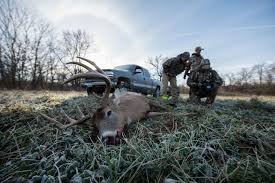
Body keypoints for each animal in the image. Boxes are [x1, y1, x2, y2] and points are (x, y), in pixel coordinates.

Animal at [40, 56, 192, 145]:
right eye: (95, 126)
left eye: (109, 112)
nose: (108, 139)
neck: (131, 112)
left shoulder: (147, 101)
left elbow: (167, 111)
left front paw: (190, 113)